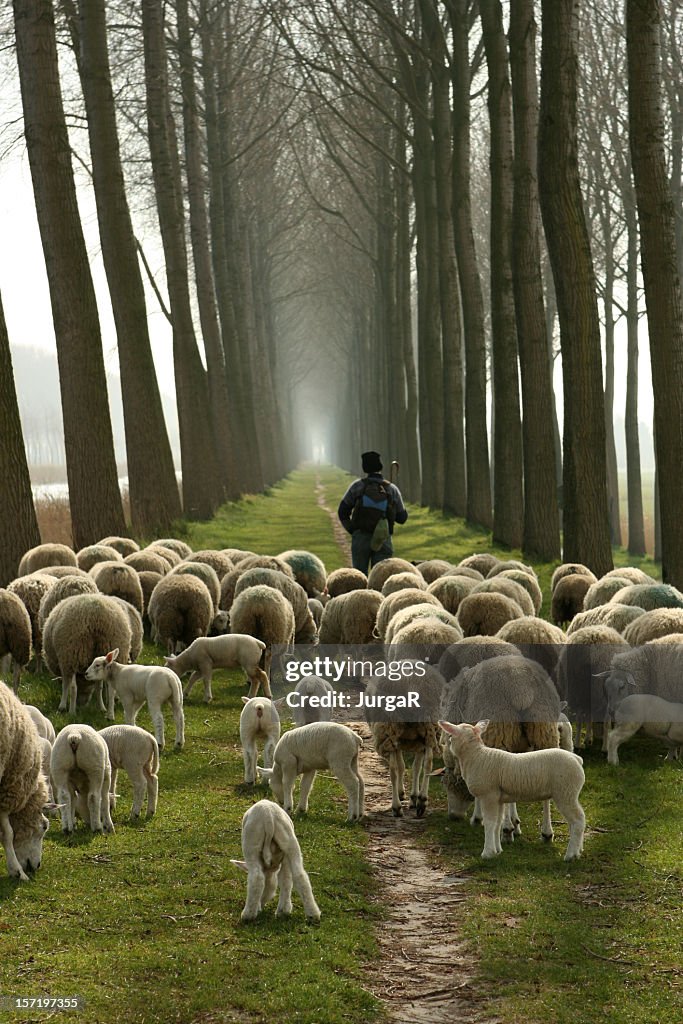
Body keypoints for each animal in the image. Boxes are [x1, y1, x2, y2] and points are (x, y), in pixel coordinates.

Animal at [229, 794, 321, 925]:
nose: (261, 905)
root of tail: (268, 816)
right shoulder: (285, 858)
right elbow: (286, 880)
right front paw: (284, 910)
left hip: (251, 841)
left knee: (257, 877)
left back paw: (248, 915)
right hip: (288, 840)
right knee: (300, 875)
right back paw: (313, 914)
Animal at [440, 720, 585, 864]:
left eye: (450, 737)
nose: (448, 745)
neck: (476, 756)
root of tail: (577, 759)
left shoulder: (489, 795)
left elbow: (489, 823)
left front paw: (487, 853)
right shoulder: (498, 798)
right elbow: (497, 823)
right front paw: (497, 851)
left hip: (565, 792)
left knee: (578, 820)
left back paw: (570, 855)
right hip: (570, 793)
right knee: (576, 821)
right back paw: (577, 852)